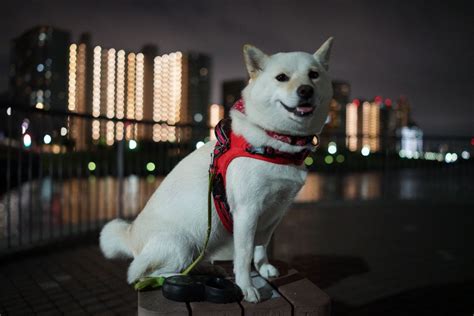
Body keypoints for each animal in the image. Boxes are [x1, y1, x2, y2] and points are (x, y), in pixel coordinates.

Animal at [100, 38, 334, 302]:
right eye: (282, 77)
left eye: (314, 75)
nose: (306, 90)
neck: (277, 144)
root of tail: (131, 236)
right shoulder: (247, 211)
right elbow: (244, 254)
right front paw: (247, 287)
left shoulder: (275, 211)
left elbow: (262, 245)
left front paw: (263, 268)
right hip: (180, 243)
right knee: (145, 275)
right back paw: (180, 275)